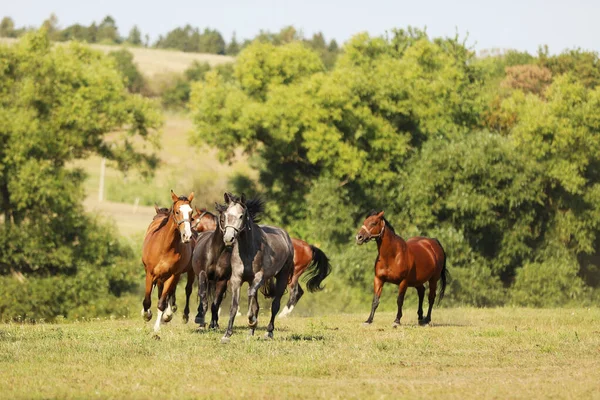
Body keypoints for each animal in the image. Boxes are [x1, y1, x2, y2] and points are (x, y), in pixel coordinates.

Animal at [142, 189, 195, 332]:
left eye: (191, 212)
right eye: (177, 211)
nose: (187, 236)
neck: (165, 247)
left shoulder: (172, 275)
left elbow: (162, 302)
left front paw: (158, 326)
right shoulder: (150, 273)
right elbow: (147, 300)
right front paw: (146, 314)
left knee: (179, 291)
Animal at [220, 192, 296, 342]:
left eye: (241, 216)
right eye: (225, 215)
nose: (228, 239)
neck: (248, 250)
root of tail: (285, 235)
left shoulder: (259, 277)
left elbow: (251, 299)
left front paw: (251, 321)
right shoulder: (236, 279)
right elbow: (234, 306)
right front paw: (227, 334)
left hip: (282, 277)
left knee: (275, 305)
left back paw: (268, 332)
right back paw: (251, 332)